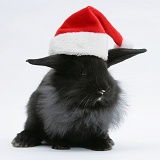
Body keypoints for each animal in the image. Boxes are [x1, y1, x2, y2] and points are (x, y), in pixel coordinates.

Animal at [11, 48, 146, 151]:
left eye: (106, 70)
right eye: (82, 72)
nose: (103, 89)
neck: (83, 109)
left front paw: (102, 144)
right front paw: (61, 144)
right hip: (32, 115)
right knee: (31, 128)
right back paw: (22, 140)